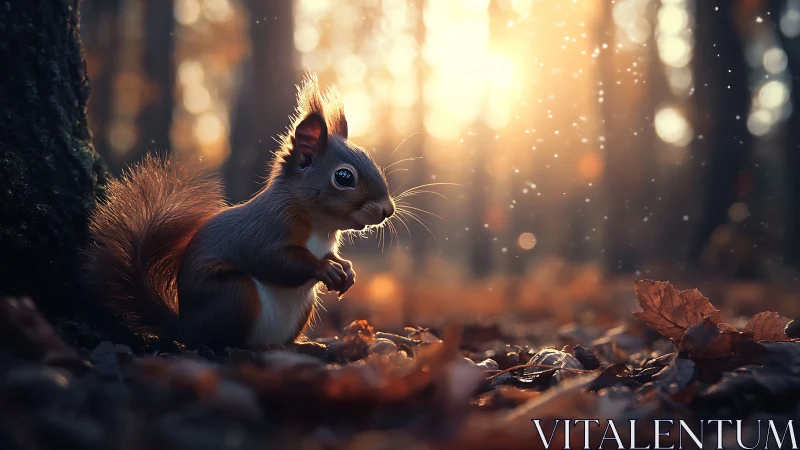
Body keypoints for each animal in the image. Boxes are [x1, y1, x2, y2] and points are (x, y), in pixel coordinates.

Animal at [82, 74, 395, 348]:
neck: (320, 225)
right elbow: (274, 260)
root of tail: (183, 326)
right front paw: (325, 268)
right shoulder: (265, 229)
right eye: (344, 177)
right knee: (217, 339)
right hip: (234, 293)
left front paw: (346, 268)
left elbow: (331, 256)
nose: (388, 210)